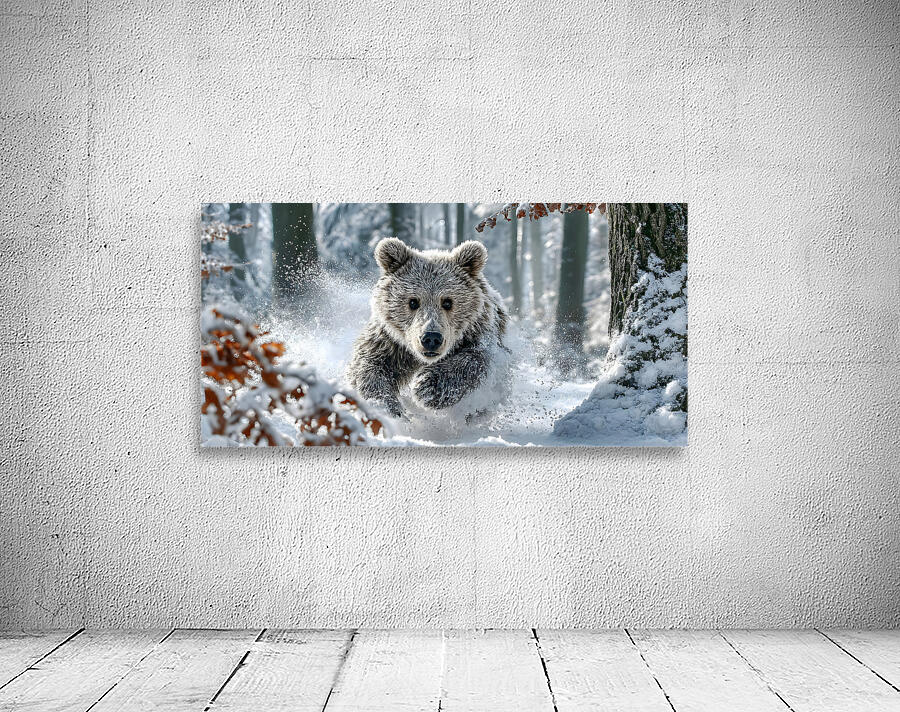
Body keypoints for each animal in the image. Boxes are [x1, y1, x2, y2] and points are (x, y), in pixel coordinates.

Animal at [346, 237, 509, 418]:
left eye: (447, 302)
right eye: (413, 301)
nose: (431, 338)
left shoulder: (479, 331)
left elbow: (477, 359)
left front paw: (428, 385)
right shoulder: (390, 341)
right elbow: (368, 364)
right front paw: (385, 406)